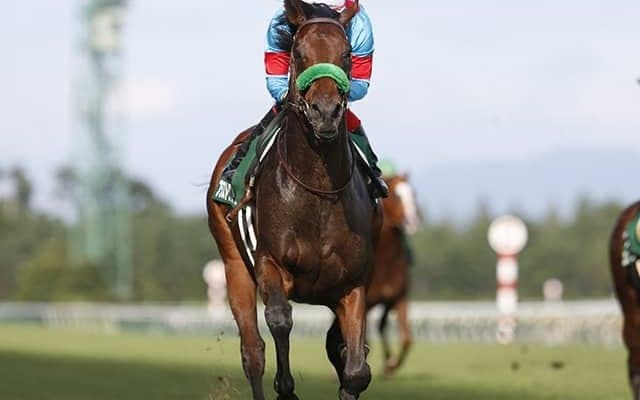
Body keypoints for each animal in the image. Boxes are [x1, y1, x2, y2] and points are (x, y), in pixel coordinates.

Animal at [206, 1, 381, 399]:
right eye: (298, 54)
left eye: (347, 54)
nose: (326, 111)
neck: (318, 189)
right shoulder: (270, 264)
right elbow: (280, 320)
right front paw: (285, 386)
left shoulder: (353, 285)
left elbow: (355, 371)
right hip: (234, 265)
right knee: (253, 351)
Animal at [366, 174, 422, 376]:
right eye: (397, 196)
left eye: (414, 193)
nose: (413, 221)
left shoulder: (398, 297)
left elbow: (406, 339)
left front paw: (391, 365)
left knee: (381, 326)